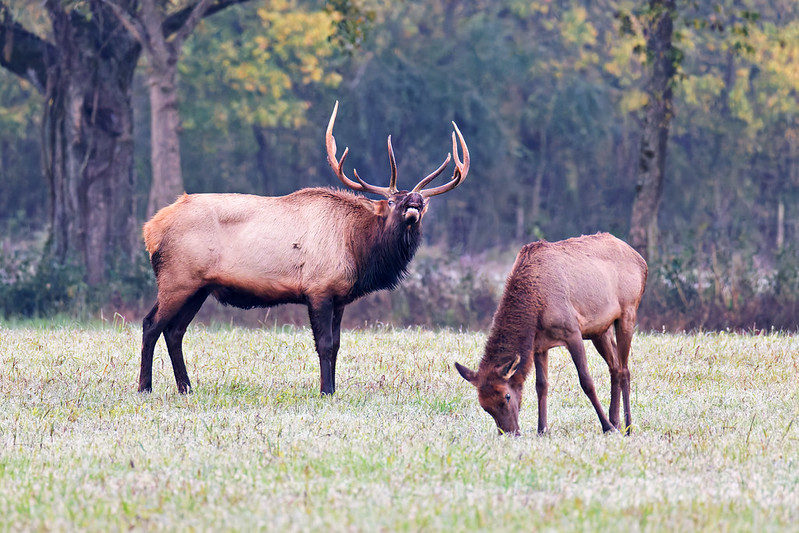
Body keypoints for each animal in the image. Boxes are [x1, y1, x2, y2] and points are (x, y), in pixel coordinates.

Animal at [139, 102, 469, 395]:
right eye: (390, 200)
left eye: (422, 203)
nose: (413, 203)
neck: (358, 251)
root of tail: (151, 229)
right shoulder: (318, 288)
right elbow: (324, 344)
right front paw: (325, 390)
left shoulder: (339, 297)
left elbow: (337, 345)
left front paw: (333, 389)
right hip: (177, 279)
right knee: (151, 324)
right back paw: (145, 387)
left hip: (199, 287)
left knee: (175, 331)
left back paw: (186, 388)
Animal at [455, 233, 647, 436]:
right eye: (485, 406)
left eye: (506, 396)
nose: (510, 433)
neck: (534, 308)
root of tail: (642, 262)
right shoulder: (539, 345)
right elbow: (541, 385)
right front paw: (542, 430)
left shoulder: (573, 332)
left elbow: (586, 381)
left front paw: (606, 427)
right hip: (600, 330)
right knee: (615, 367)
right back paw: (616, 421)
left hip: (628, 313)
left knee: (625, 369)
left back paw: (627, 427)